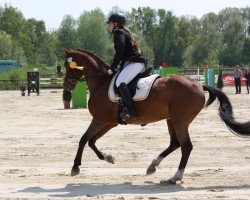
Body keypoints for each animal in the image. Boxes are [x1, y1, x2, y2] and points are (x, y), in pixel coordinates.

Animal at [63, 48, 250, 184]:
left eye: (67, 66)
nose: (67, 87)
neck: (100, 82)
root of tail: (199, 84)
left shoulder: (100, 119)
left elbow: (83, 139)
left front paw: (75, 167)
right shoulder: (109, 122)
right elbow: (91, 140)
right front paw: (108, 157)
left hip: (180, 120)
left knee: (186, 146)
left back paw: (175, 177)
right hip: (171, 119)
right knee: (175, 143)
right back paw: (152, 166)